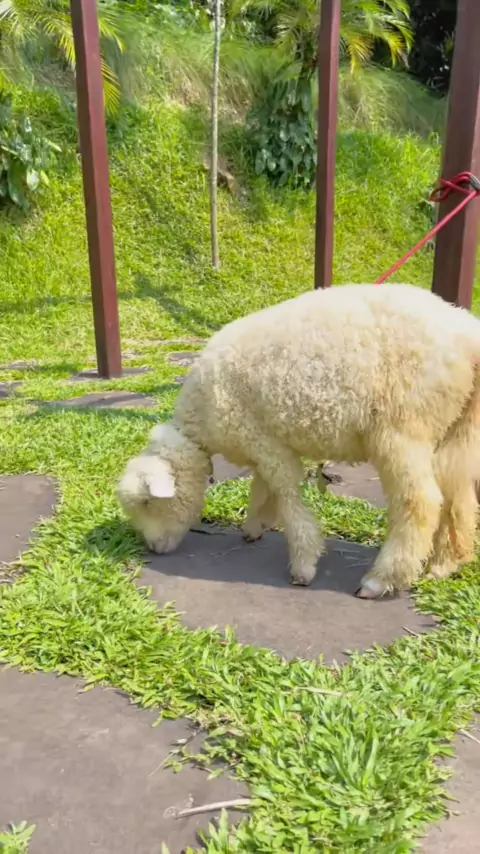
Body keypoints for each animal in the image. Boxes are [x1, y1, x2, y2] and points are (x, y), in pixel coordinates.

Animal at [118, 283, 480, 599]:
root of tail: (467, 335)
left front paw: (303, 566)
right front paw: (254, 526)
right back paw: (444, 564)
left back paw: (381, 580)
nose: (154, 549)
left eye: (148, 503)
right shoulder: (262, 443)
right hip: (457, 427)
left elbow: (287, 496)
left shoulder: (266, 442)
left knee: (420, 501)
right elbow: (260, 488)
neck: (202, 421)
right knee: (458, 494)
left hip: (404, 426)